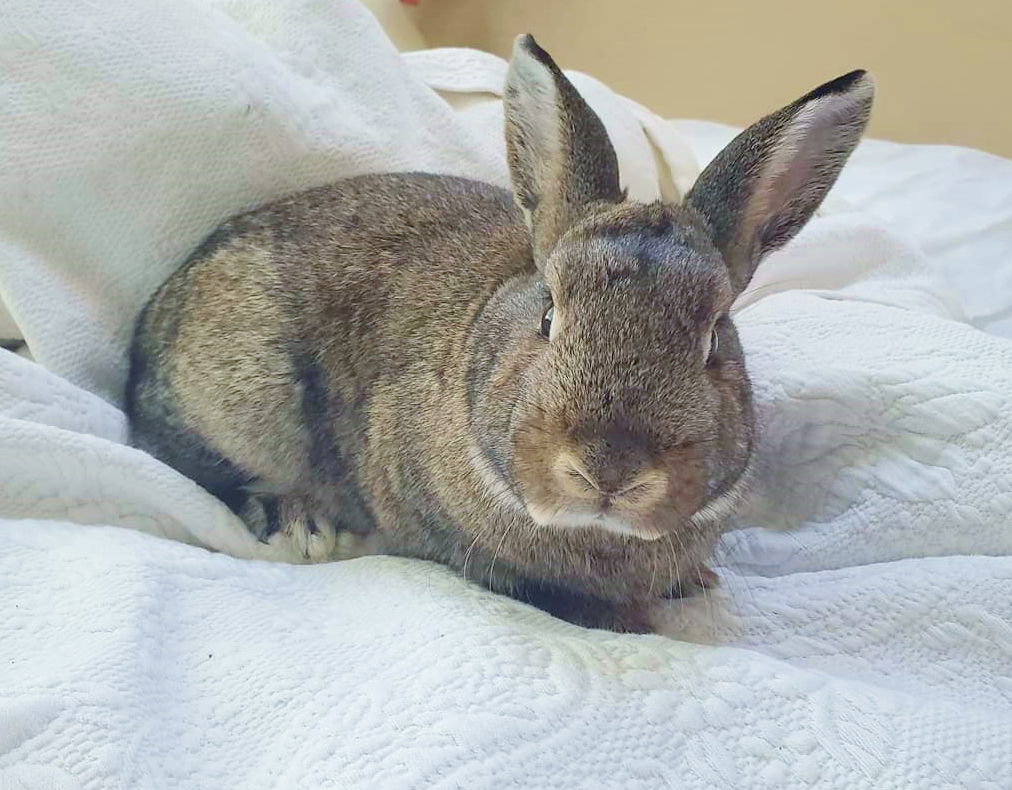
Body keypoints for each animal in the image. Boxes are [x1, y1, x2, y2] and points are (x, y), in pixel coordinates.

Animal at [124, 33, 870, 631]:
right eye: (549, 316)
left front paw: (694, 582)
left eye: (715, 340)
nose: (609, 469)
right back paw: (301, 521)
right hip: (244, 399)